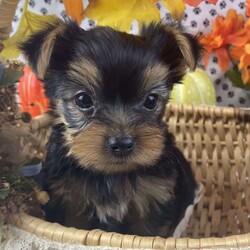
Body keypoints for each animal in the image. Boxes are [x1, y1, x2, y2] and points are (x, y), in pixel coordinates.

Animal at [20, 18, 202, 237]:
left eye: (151, 101)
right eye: (83, 100)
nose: (122, 143)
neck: (110, 174)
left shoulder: (154, 198)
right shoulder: (68, 201)